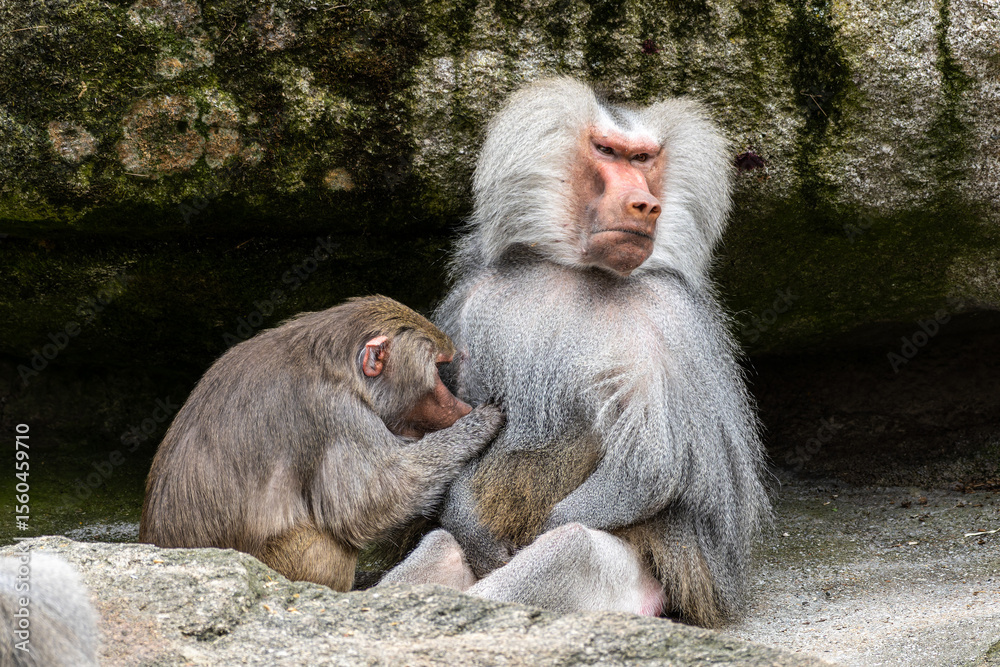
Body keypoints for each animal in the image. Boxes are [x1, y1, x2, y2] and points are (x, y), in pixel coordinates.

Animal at [140, 295, 504, 592]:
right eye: (438, 372)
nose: (461, 407)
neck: (337, 366)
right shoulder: (336, 412)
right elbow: (371, 503)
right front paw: (476, 427)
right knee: (325, 543)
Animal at [382, 78, 768, 627]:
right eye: (607, 151)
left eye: (644, 158)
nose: (645, 204)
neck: (578, 271)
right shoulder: (473, 302)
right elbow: (463, 422)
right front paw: (468, 521)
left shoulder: (670, 319)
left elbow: (655, 464)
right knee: (443, 545)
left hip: (638, 588)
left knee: (568, 550)